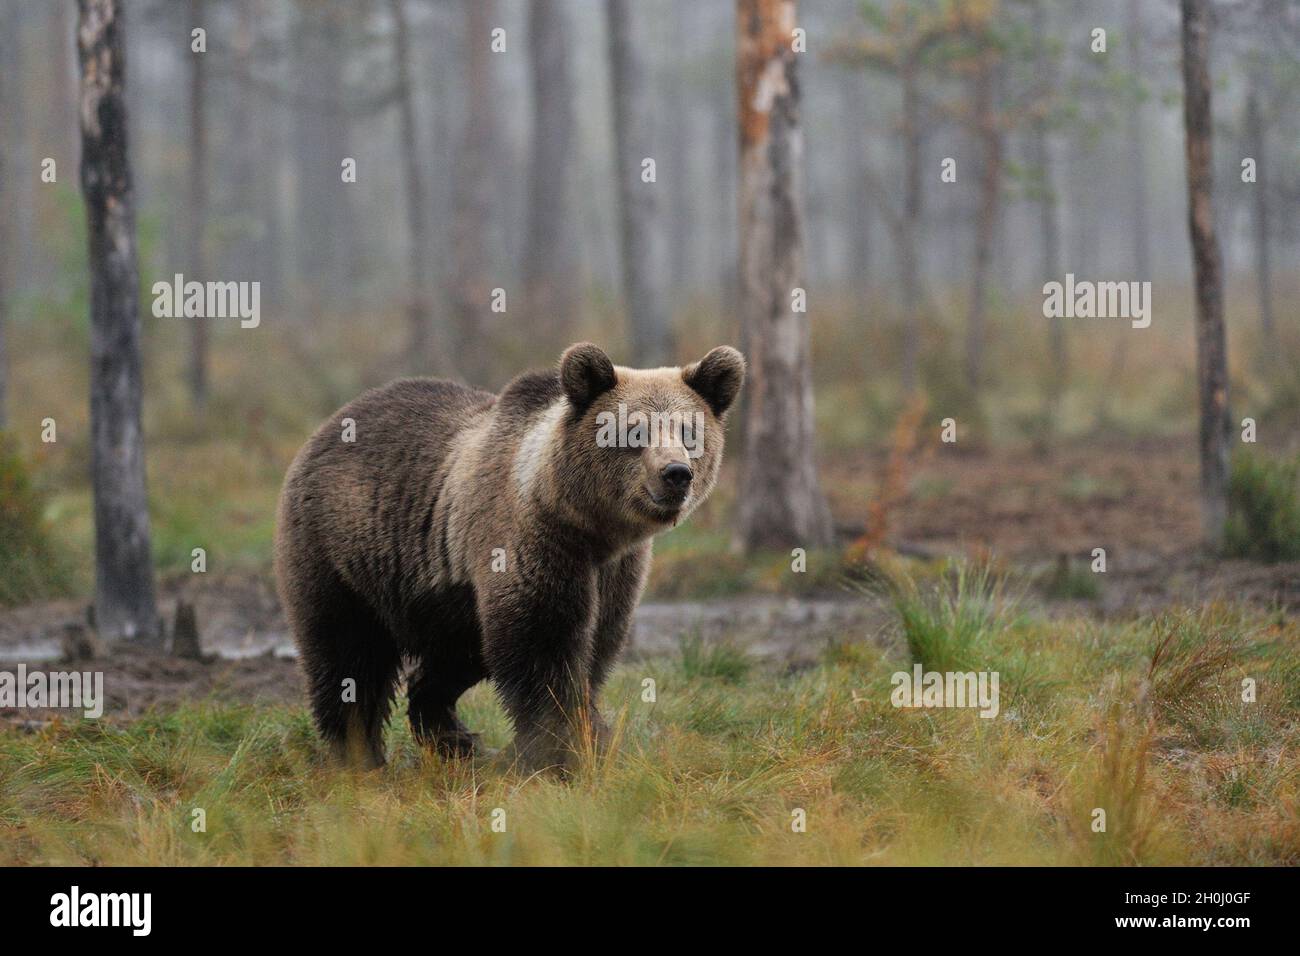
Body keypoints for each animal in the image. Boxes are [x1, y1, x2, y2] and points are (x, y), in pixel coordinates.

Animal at [274, 342, 745, 773]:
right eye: (635, 432)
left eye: (689, 431)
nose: (676, 474)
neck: (586, 523)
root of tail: (328, 425)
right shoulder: (530, 542)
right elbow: (544, 646)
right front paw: (566, 750)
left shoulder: (616, 570)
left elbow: (597, 646)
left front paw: (586, 738)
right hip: (344, 549)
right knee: (348, 654)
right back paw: (358, 756)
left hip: (449, 599)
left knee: (449, 661)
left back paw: (456, 740)